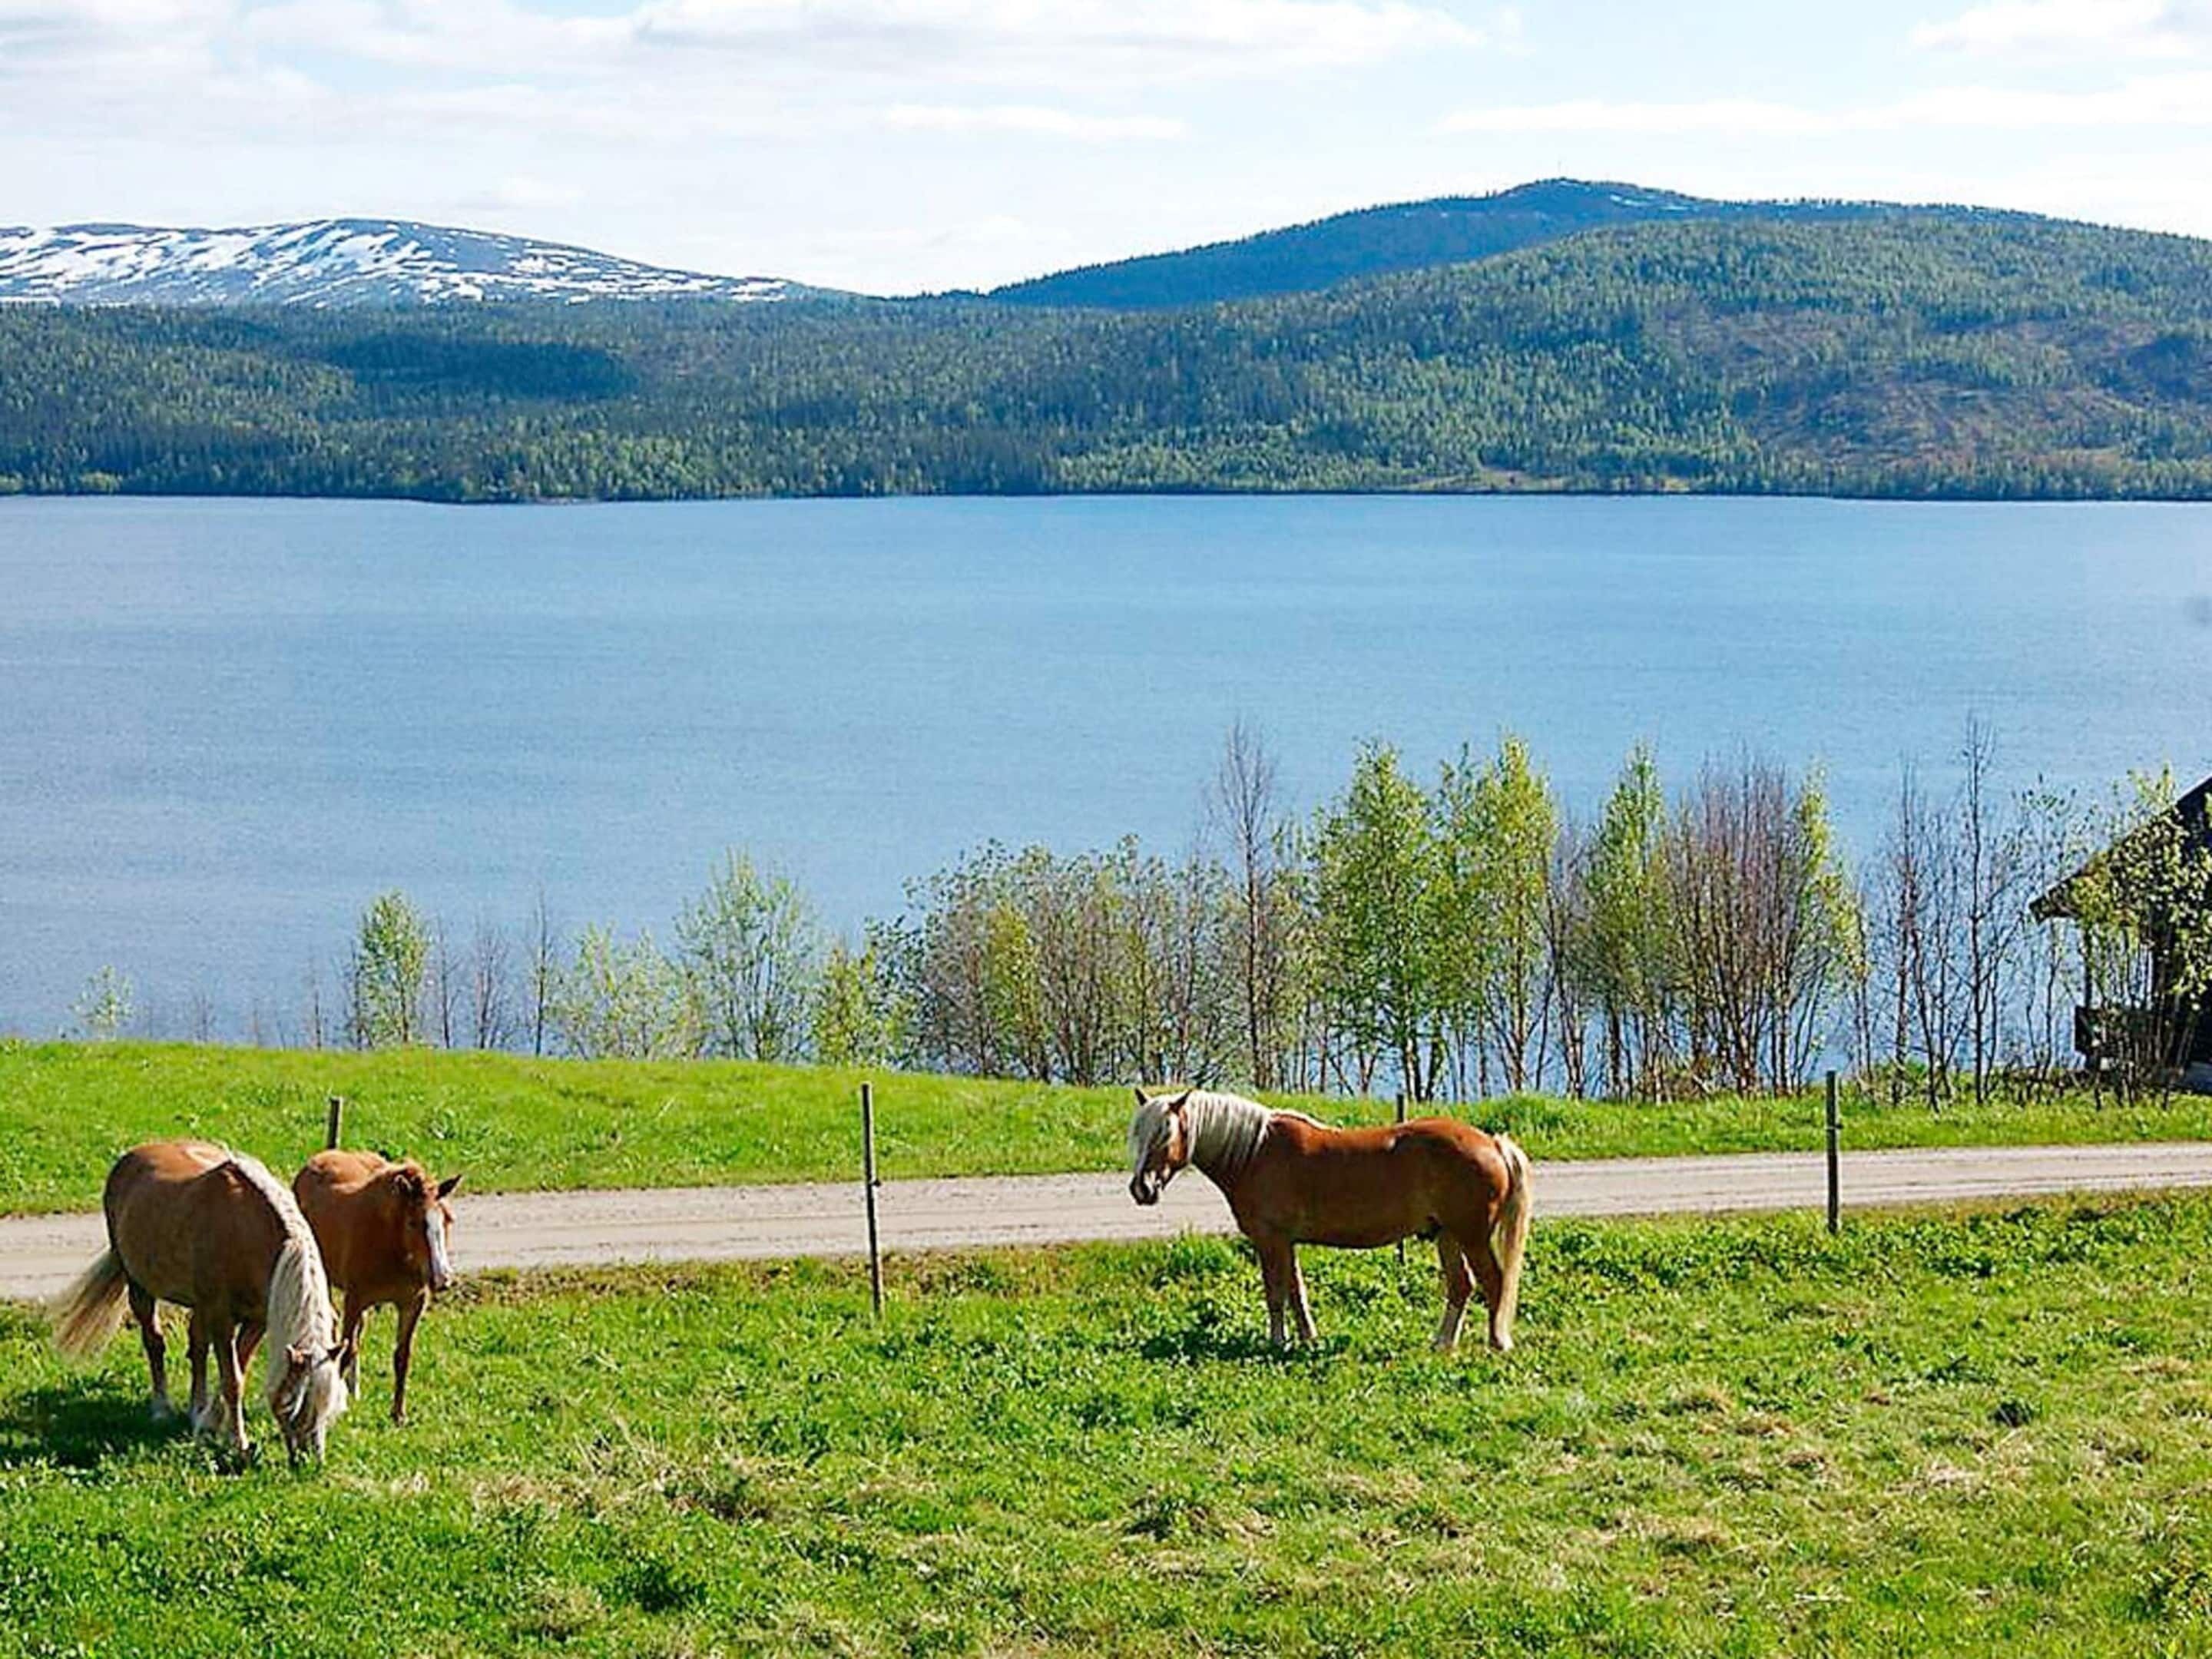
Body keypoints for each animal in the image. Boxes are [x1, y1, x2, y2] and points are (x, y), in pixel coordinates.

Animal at [51, 1141, 350, 1463]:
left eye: (331, 1407)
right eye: (290, 1406)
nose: (310, 1462)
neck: (246, 1231)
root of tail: (132, 1156)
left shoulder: (256, 1319)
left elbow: (235, 1369)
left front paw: (209, 1422)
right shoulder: (221, 1315)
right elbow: (233, 1380)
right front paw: (238, 1441)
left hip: (199, 1305)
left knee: (197, 1348)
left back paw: (196, 1409)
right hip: (140, 1287)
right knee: (154, 1342)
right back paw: (162, 1409)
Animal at [293, 1150, 460, 1425]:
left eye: (447, 1219)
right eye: (413, 1222)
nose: (442, 1278)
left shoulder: (412, 1303)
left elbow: (402, 1356)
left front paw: (398, 1414)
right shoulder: (355, 1299)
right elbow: (346, 1349)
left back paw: (355, 1389)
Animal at [1127, 1088, 1532, 1353]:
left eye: (1166, 1135)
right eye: (1139, 1135)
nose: (1141, 1189)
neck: (1255, 1152)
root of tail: (1493, 1143)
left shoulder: (1270, 1240)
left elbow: (1275, 1293)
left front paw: (1277, 1343)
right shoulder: (1286, 1242)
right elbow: (1296, 1292)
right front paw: (1308, 1339)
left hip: (1471, 1236)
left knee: (1493, 1283)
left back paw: (1496, 1343)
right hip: (1447, 1235)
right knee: (1461, 1286)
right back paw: (1442, 1344)